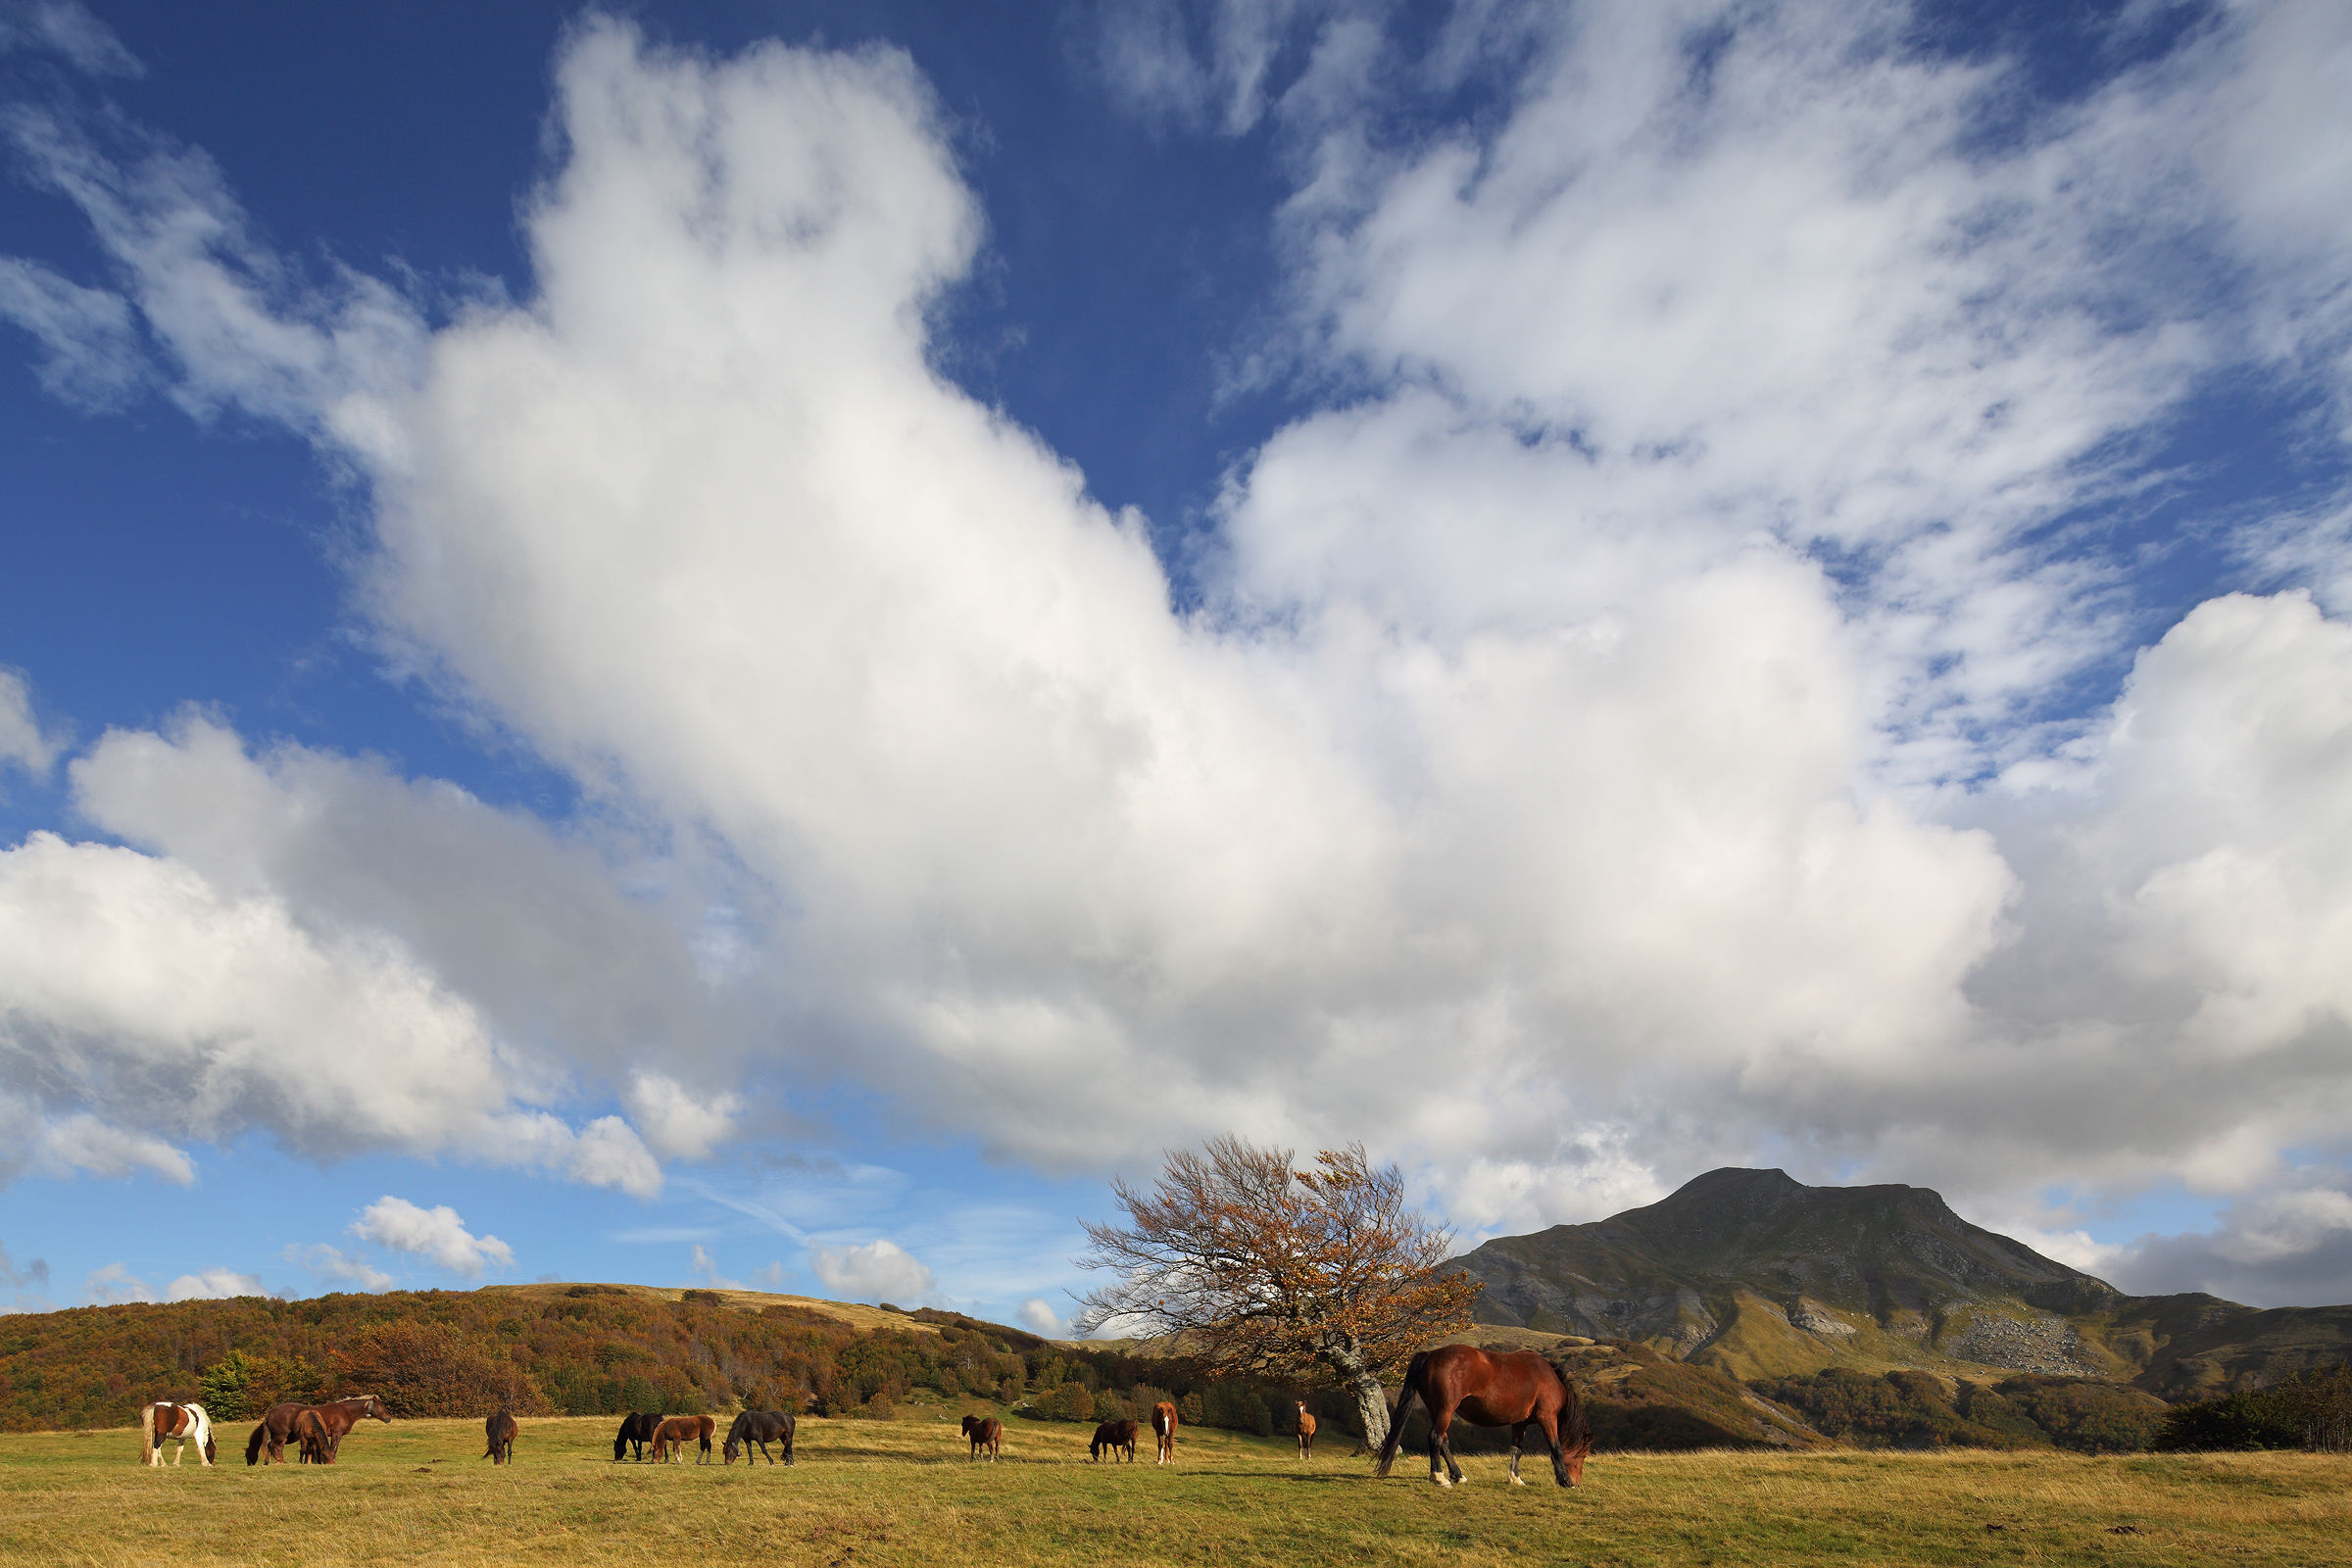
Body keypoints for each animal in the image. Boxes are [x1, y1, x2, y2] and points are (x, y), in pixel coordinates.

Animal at [245, 1395, 391, 1465]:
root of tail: (271, 1412)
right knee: (273, 1446)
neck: (344, 1411)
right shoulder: (336, 1433)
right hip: (281, 1435)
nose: (388, 1418)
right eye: (382, 1405)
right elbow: (334, 1448)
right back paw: (281, 1461)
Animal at [1375, 1345, 1591, 1488]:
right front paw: (1565, 1480)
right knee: (1435, 1437)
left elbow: (1517, 1450)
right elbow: (1556, 1448)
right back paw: (1439, 1477)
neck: (1549, 1379)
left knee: (1443, 1440)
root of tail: (1431, 1355)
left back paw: (1457, 1475)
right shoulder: (1547, 1418)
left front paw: (1515, 1478)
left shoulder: (1519, 1423)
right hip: (1446, 1409)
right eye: (1582, 1456)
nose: (1578, 1482)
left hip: (1436, 1410)